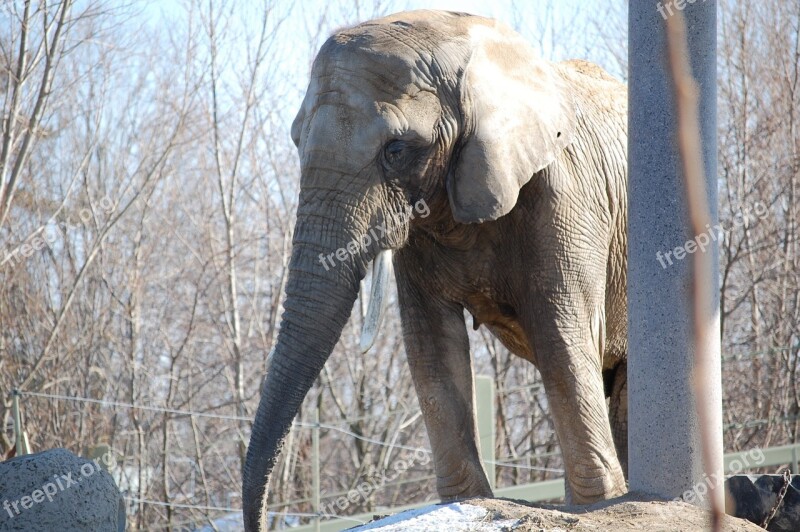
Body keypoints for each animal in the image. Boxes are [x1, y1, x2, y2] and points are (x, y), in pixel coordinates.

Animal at [241, 9, 628, 532]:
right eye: (296, 141)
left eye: (396, 150)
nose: (262, 521)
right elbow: (431, 346)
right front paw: (465, 500)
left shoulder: (566, 197)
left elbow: (561, 336)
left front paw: (596, 505)